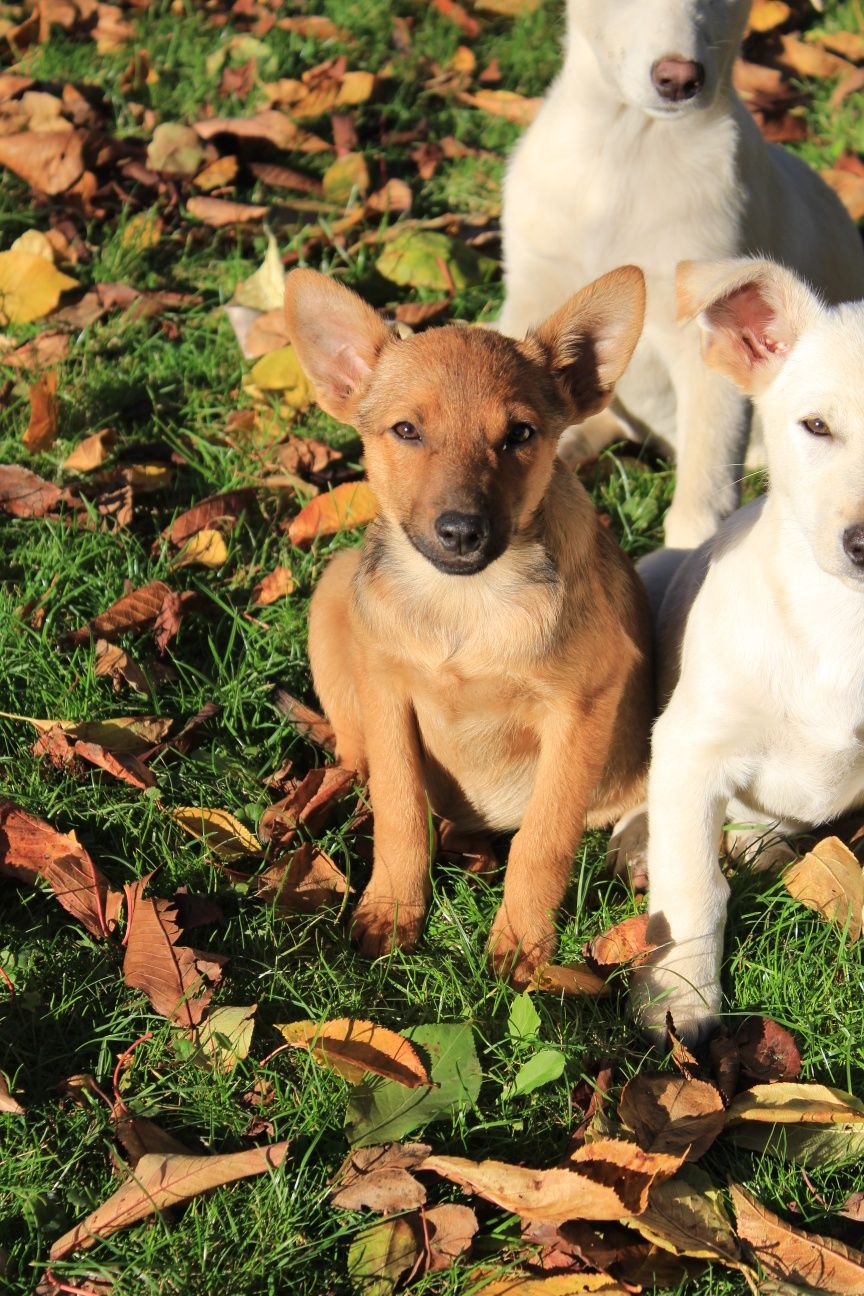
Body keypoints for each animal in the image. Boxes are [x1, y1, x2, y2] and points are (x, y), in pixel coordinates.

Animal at [287, 268, 652, 984]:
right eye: (406, 430)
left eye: (520, 435)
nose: (461, 531)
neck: (466, 605)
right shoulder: (388, 691)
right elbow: (400, 811)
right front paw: (393, 909)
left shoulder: (581, 708)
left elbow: (542, 840)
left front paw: (522, 943)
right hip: (331, 595)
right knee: (360, 761)